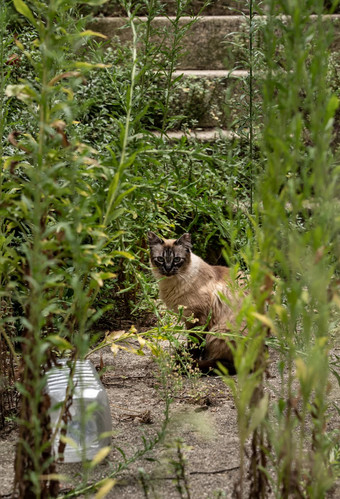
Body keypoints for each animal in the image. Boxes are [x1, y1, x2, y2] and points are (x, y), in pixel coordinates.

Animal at [147, 232, 246, 374]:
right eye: (160, 259)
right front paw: (185, 357)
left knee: (228, 366)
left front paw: (188, 362)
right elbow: (192, 344)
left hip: (220, 332)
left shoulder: (198, 319)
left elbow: (194, 345)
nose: (168, 268)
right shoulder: (189, 319)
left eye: (176, 259)